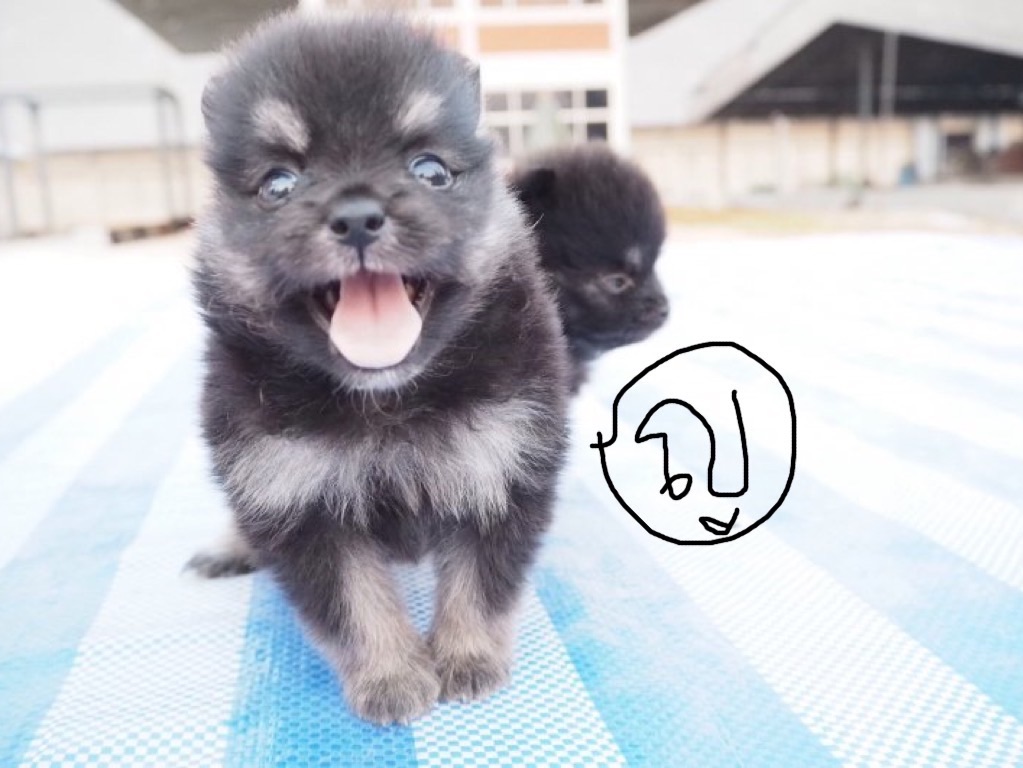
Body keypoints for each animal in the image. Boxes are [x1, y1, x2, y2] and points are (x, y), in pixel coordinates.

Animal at [189, 13, 569, 725]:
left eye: (430, 171)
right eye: (279, 184)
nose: (358, 216)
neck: (386, 400)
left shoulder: (501, 463)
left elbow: (480, 581)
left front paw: (468, 659)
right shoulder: (294, 496)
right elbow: (355, 603)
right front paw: (392, 676)